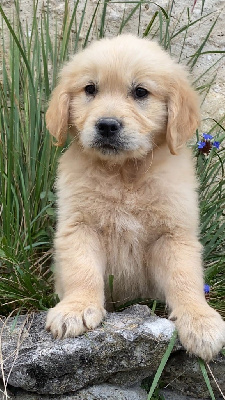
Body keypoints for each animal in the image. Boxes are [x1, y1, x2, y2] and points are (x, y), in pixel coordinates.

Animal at [45, 33, 225, 360]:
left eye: (140, 92)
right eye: (90, 89)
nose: (107, 125)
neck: (124, 173)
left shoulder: (174, 233)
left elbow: (185, 277)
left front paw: (200, 319)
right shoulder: (79, 226)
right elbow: (81, 270)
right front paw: (75, 308)